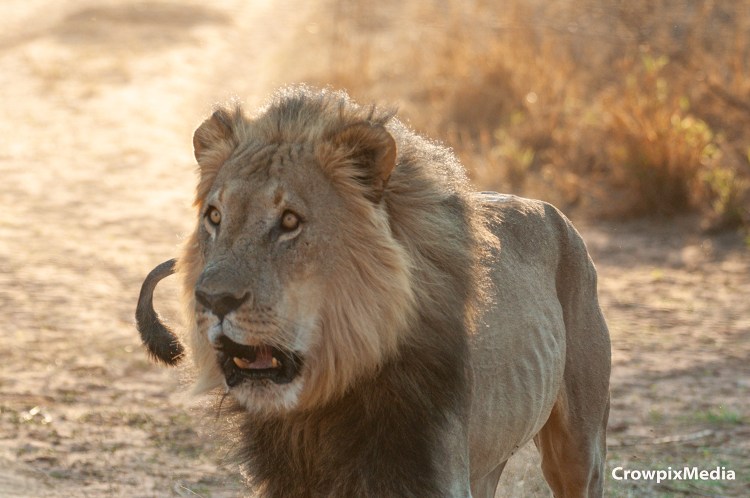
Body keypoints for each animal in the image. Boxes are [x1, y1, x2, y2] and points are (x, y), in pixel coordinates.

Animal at [136, 86, 611, 497]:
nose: (212, 300)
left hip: (580, 448)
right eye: (215, 216)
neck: (321, 408)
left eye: (290, 221)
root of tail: (557, 215)